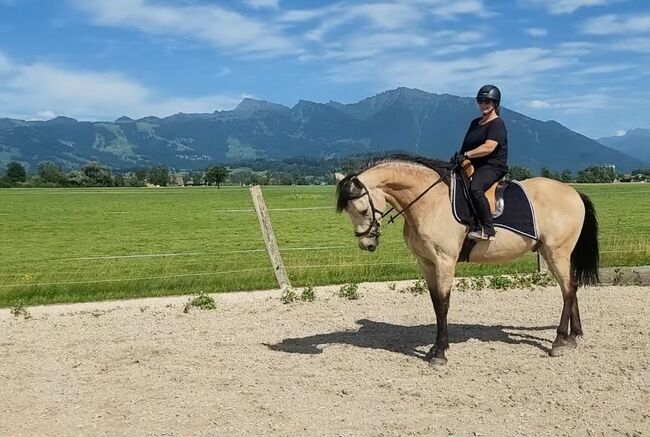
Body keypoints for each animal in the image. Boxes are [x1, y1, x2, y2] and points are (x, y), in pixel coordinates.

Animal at [335, 154, 599, 365]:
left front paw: (440, 353)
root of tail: (573, 192)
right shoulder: (426, 263)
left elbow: (443, 304)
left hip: (557, 252)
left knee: (567, 291)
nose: (367, 244)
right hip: (551, 252)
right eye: (348, 211)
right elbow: (435, 304)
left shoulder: (444, 261)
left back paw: (559, 341)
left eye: (361, 209)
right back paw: (573, 337)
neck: (429, 202)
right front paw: (435, 347)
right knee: (572, 287)